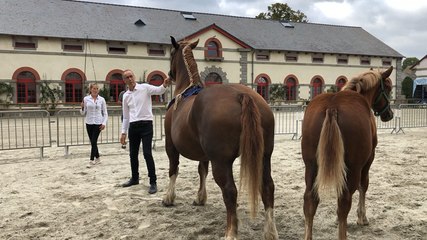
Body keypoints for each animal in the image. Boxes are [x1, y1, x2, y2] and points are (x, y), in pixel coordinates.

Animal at [162, 36, 280, 239]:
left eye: (171, 53)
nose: (169, 75)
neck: (186, 90)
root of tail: (241, 95)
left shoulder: (171, 146)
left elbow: (173, 170)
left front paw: (169, 198)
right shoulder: (203, 155)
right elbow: (202, 171)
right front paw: (200, 198)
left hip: (221, 162)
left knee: (230, 191)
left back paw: (231, 232)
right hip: (264, 156)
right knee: (267, 187)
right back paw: (270, 231)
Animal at [300, 66, 394, 240]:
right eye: (389, 87)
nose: (389, 114)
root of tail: (332, 107)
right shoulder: (368, 159)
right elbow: (364, 185)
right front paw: (362, 217)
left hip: (311, 166)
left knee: (310, 199)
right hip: (354, 168)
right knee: (344, 201)